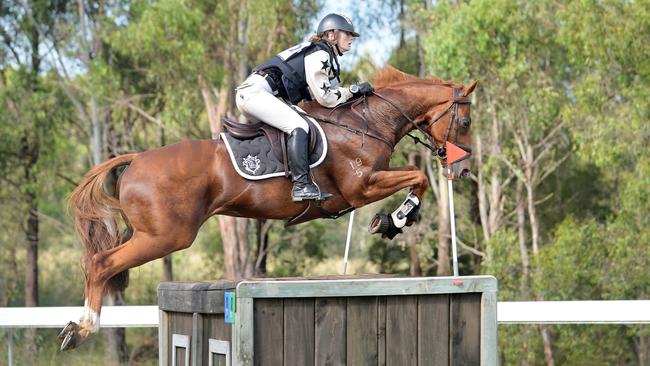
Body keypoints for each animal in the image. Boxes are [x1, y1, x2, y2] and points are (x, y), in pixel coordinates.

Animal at [59, 65, 476, 348]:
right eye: (466, 121)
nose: (463, 169)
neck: (366, 121)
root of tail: (137, 159)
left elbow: (417, 179)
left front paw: (394, 221)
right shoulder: (360, 187)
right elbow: (418, 177)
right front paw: (396, 220)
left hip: (156, 234)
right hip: (167, 236)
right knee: (101, 263)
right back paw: (82, 329)